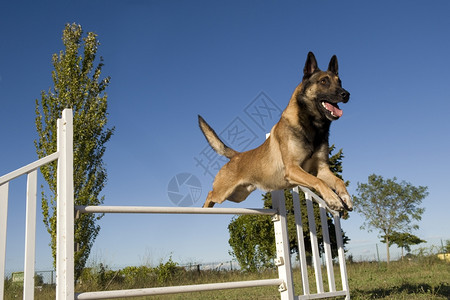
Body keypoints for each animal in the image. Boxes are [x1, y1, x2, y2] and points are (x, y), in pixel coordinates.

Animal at [199, 51, 354, 211]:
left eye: (340, 82)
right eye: (323, 81)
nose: (346, 94)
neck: (312, 126)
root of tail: (237, 155)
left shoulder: (322, 170)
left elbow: (339, 181)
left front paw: (345, 197)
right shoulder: (293, 169)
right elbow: (318, 181)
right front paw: (333, 199)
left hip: (238, 196)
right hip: (223, 193)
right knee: (210, 194)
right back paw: (203, 209)